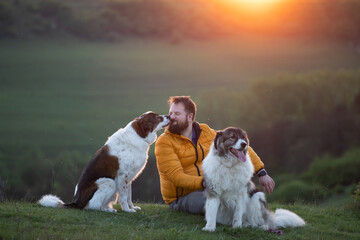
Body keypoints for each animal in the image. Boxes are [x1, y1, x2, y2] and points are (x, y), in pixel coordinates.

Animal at [38, 111, 171, 213]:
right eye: (158, 117)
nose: (169, 116)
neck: (139, 135)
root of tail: (76, 202)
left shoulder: (129, 178)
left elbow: (129, 196)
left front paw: (132, 207)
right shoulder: (123, 176)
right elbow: (124, 196)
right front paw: (127, 210)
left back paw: (109, 208)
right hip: (109, 182)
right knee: (93, 206)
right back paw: (108, 210)